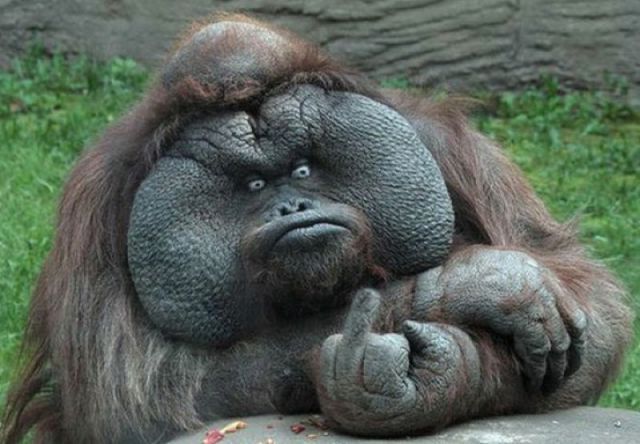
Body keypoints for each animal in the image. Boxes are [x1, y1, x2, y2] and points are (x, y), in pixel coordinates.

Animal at [1, 13, 632, 444]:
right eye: (254, 185)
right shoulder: (94, 207)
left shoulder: (447, 143)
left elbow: (591, 317)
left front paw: (444, 369)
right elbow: (132, 388)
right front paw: (476, 287)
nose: (292, 207)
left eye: (303, 168)